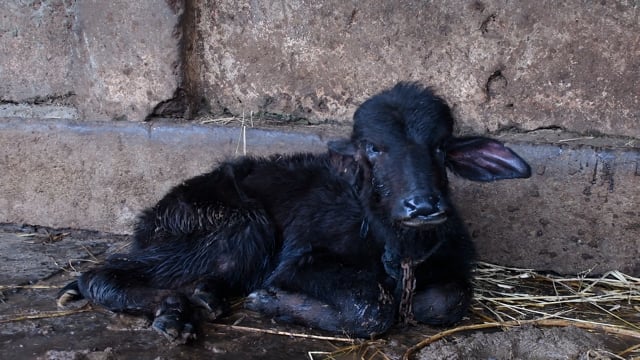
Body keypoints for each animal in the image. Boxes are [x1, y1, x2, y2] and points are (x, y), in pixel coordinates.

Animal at [58, 82, 528, 344]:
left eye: (440, 146)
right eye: (373, 148)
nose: (423, 206)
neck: (396, 246)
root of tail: (154, 213)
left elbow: (446, 301)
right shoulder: (301, 261)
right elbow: (371, 306)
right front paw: (271, 301)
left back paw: (203, 298)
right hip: (239, 229)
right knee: (99, 274)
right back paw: (173, 312)